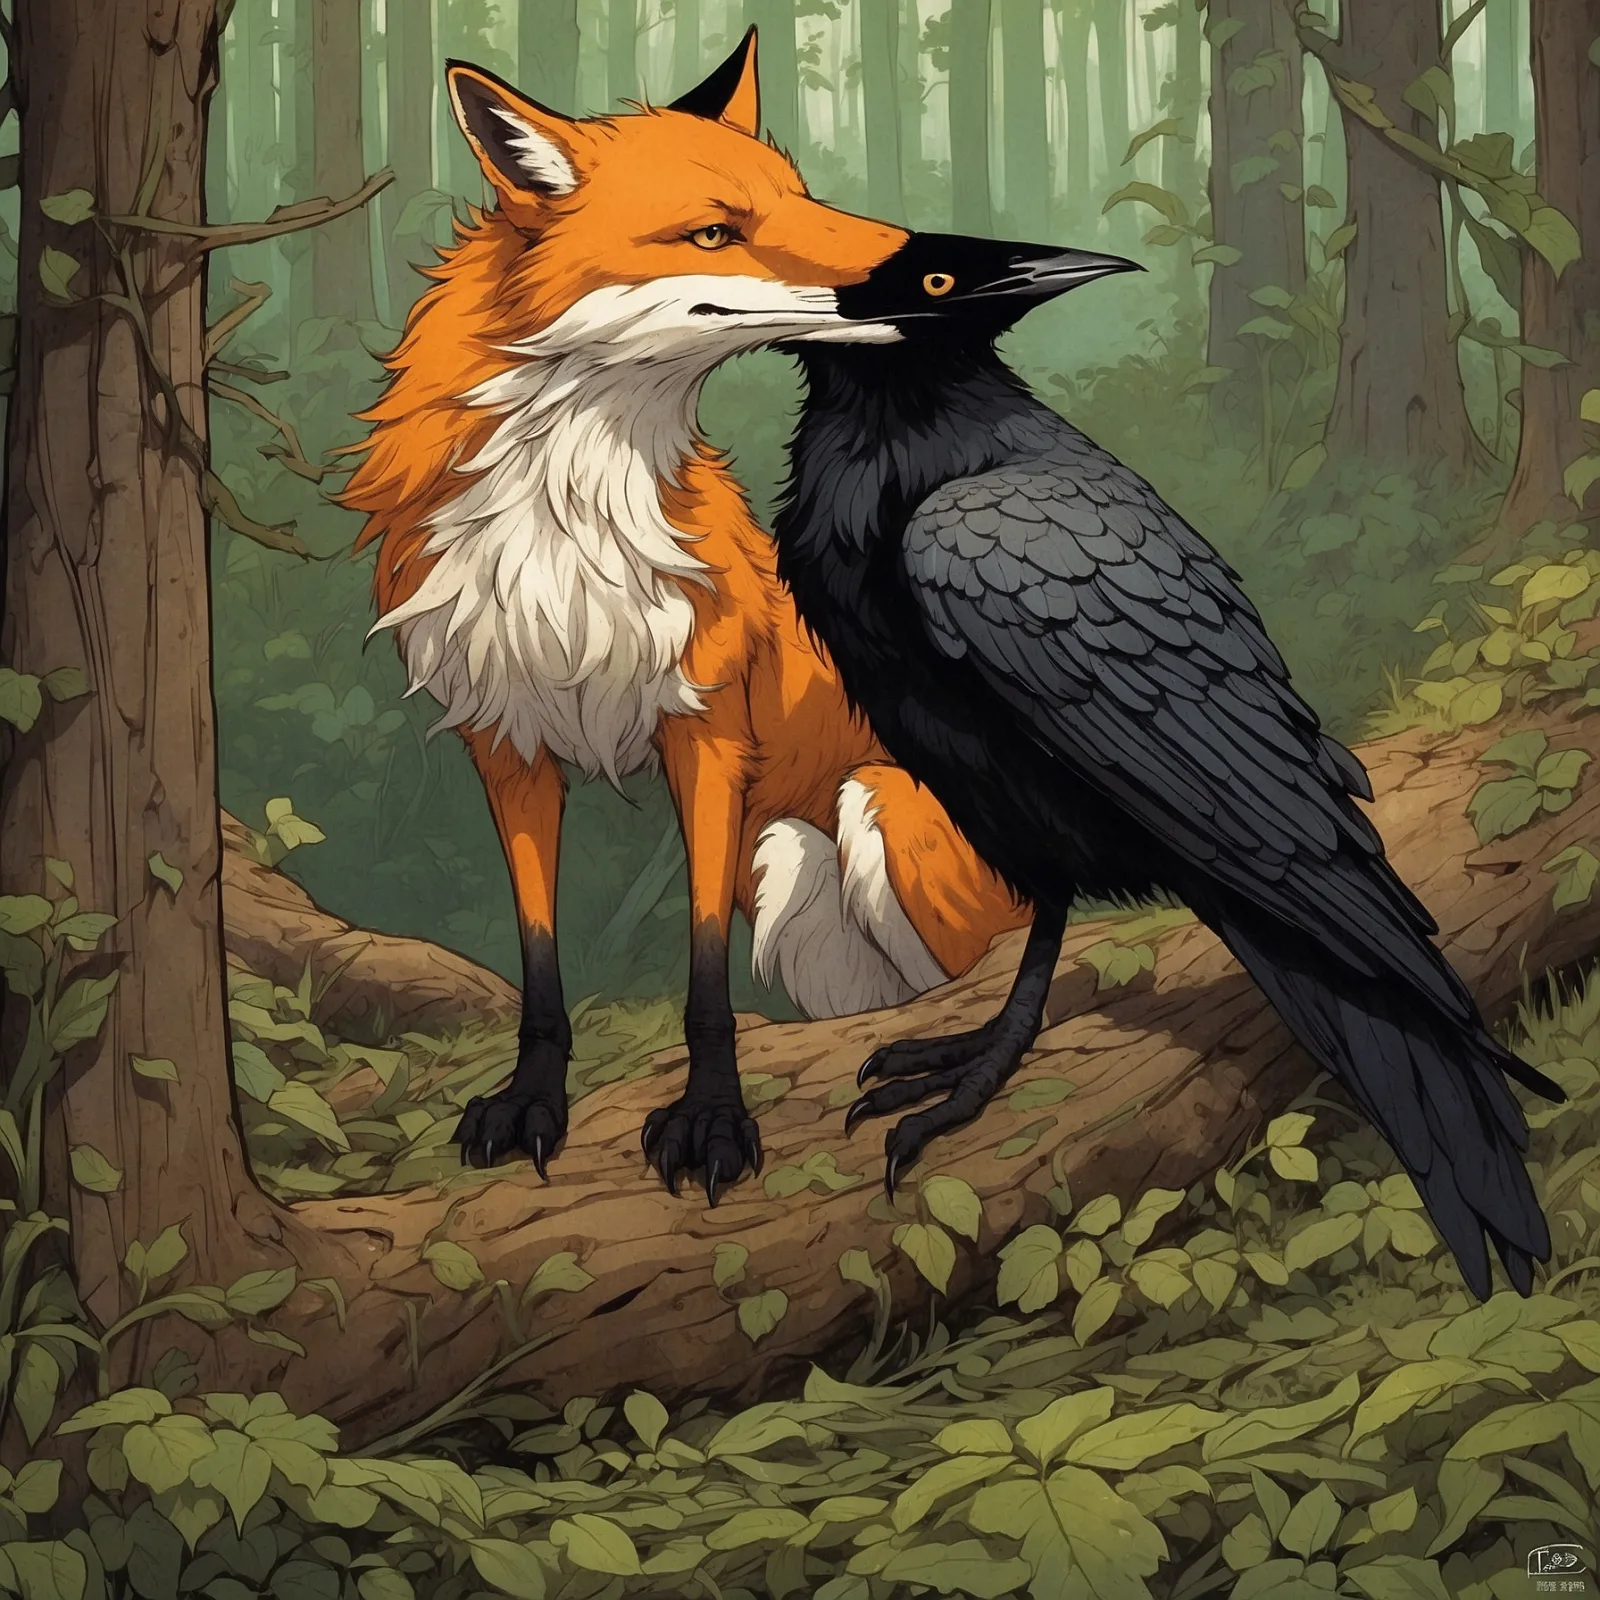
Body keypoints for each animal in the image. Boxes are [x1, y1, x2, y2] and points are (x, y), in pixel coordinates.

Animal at [339, 30, 1029, 1202]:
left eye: (804, 198)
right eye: (715, 232)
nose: (930, 267)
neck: (565, 524)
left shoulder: (706, 730)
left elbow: (704, 973)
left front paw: (712, 1118)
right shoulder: (505, 743)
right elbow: (538, 955)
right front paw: (533, 1098)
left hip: (870, 811)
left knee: (958, 974)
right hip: (790, 873)